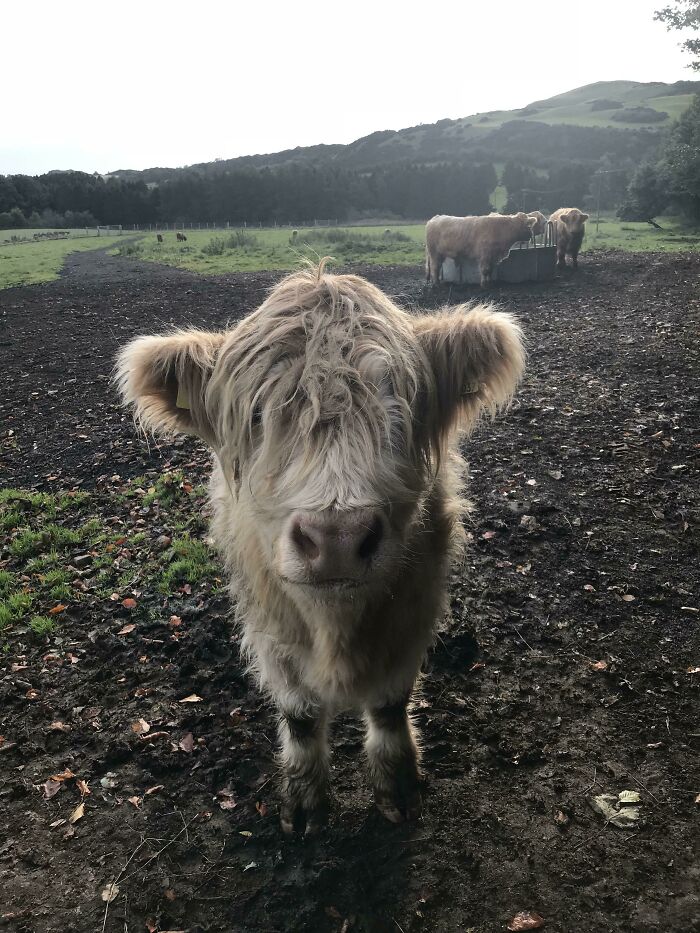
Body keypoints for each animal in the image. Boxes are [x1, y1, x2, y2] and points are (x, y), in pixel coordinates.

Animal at [116, 262, 525, 834]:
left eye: (397, 408)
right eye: (260, 414)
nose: (337, 539)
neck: (337, 629)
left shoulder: (413, 610)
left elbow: (389, 705)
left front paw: (398, 783)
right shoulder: (270, 622)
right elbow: (301, 716)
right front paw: (305, 798)